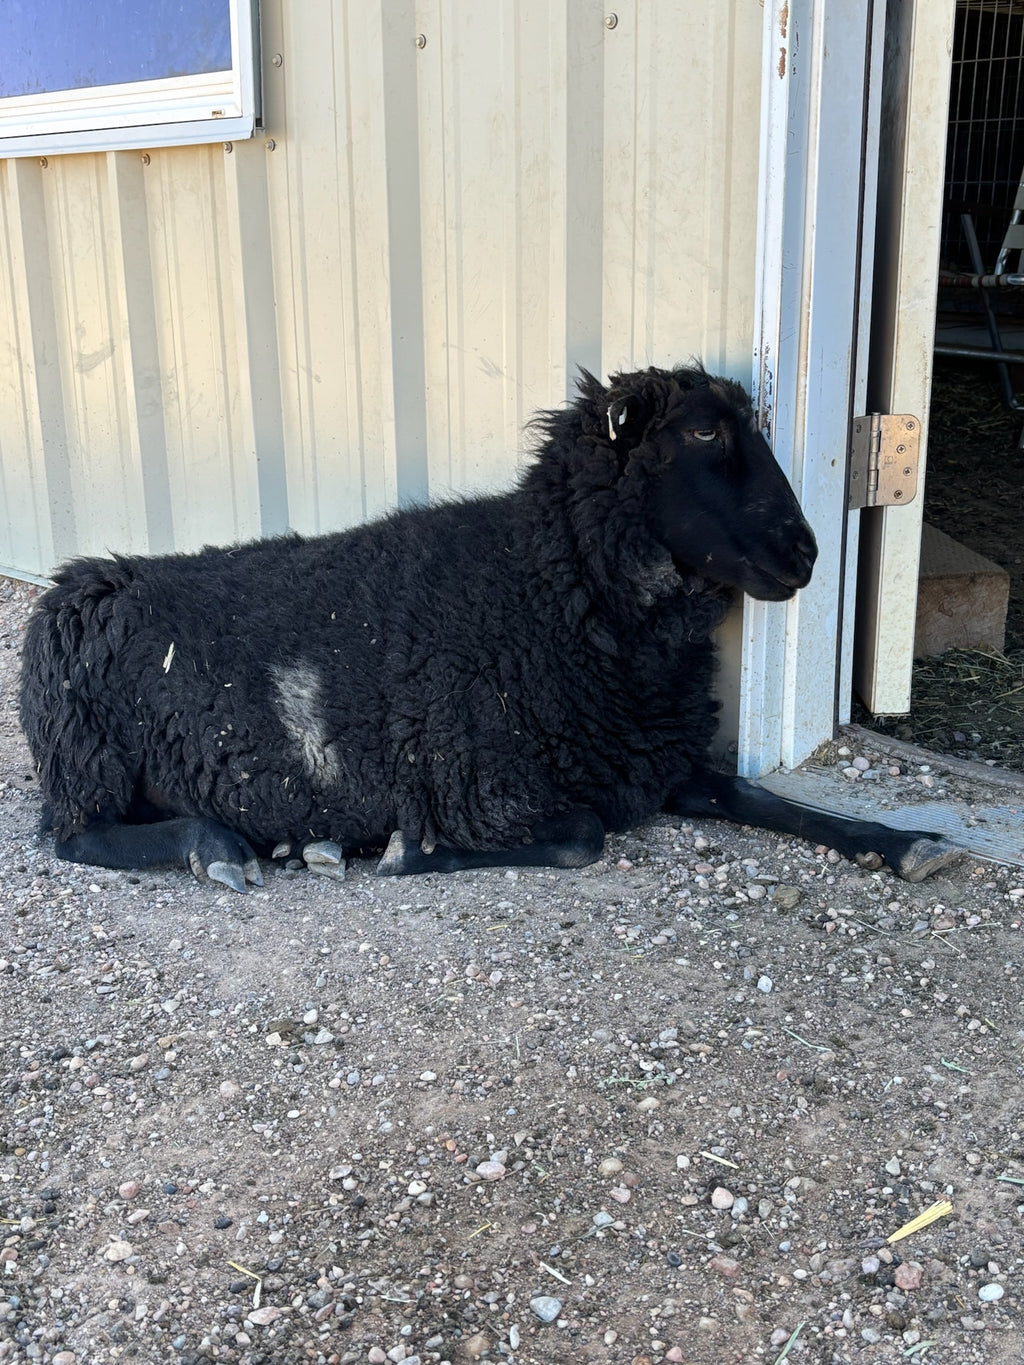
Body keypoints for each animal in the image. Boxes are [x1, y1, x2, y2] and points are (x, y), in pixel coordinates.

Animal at [18, 363, 960, 890]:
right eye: (700, 432)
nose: (805, 552)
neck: (548, 588)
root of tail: (79, 582)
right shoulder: (482, 782)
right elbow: (580, 838)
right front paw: (405, 853)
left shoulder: (654, 762)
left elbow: (759, 796)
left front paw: (904, 842)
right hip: (90, 758)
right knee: (76, 836)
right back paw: (220, 845)